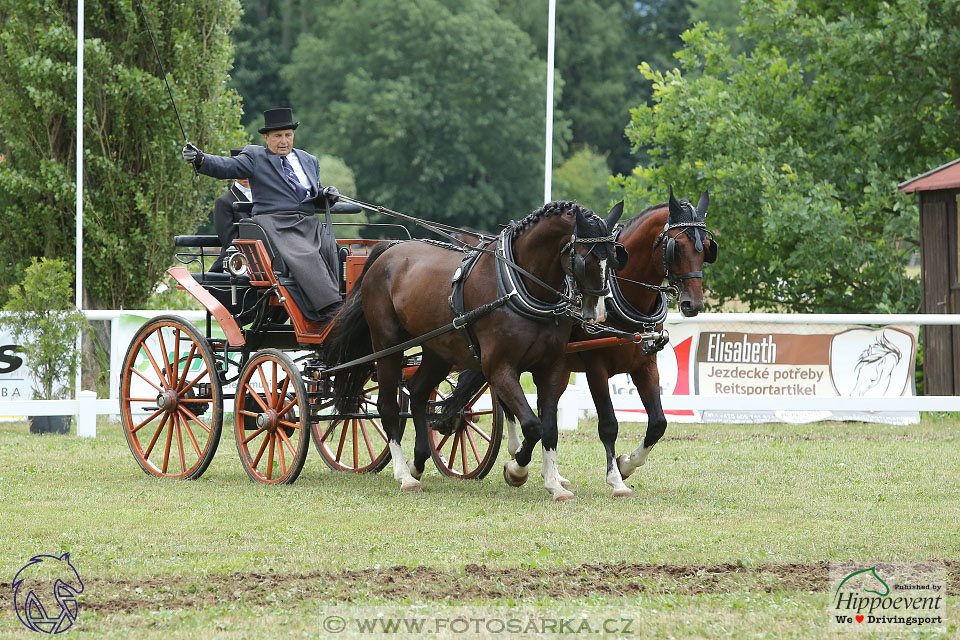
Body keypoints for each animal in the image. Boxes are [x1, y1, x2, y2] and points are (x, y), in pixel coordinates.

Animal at [322, 200, 624, 500]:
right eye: (585, 259)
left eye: (614, 256)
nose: (597, 313)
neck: (518, 285)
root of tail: (388, 250)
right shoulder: (499, 368)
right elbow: (532, 425)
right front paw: (516, 470)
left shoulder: (552, 367)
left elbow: (549, 429)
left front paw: (554, 483)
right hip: (387, 347)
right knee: (387, 406)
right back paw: (403, 475)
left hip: (438, 351)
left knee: (418, 393)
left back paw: (417, 462)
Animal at [436, 190, 720, 500]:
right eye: (676, 247)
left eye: (707, 248)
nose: (693, 304)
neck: (622, 295)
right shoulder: (596, 368)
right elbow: (608, 425)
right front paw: (616, 480)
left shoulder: (645, 365)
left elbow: (658, 423)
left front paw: (626, 464)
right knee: (504, 398)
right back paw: (514, 454)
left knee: (540, 412)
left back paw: (550, 473)